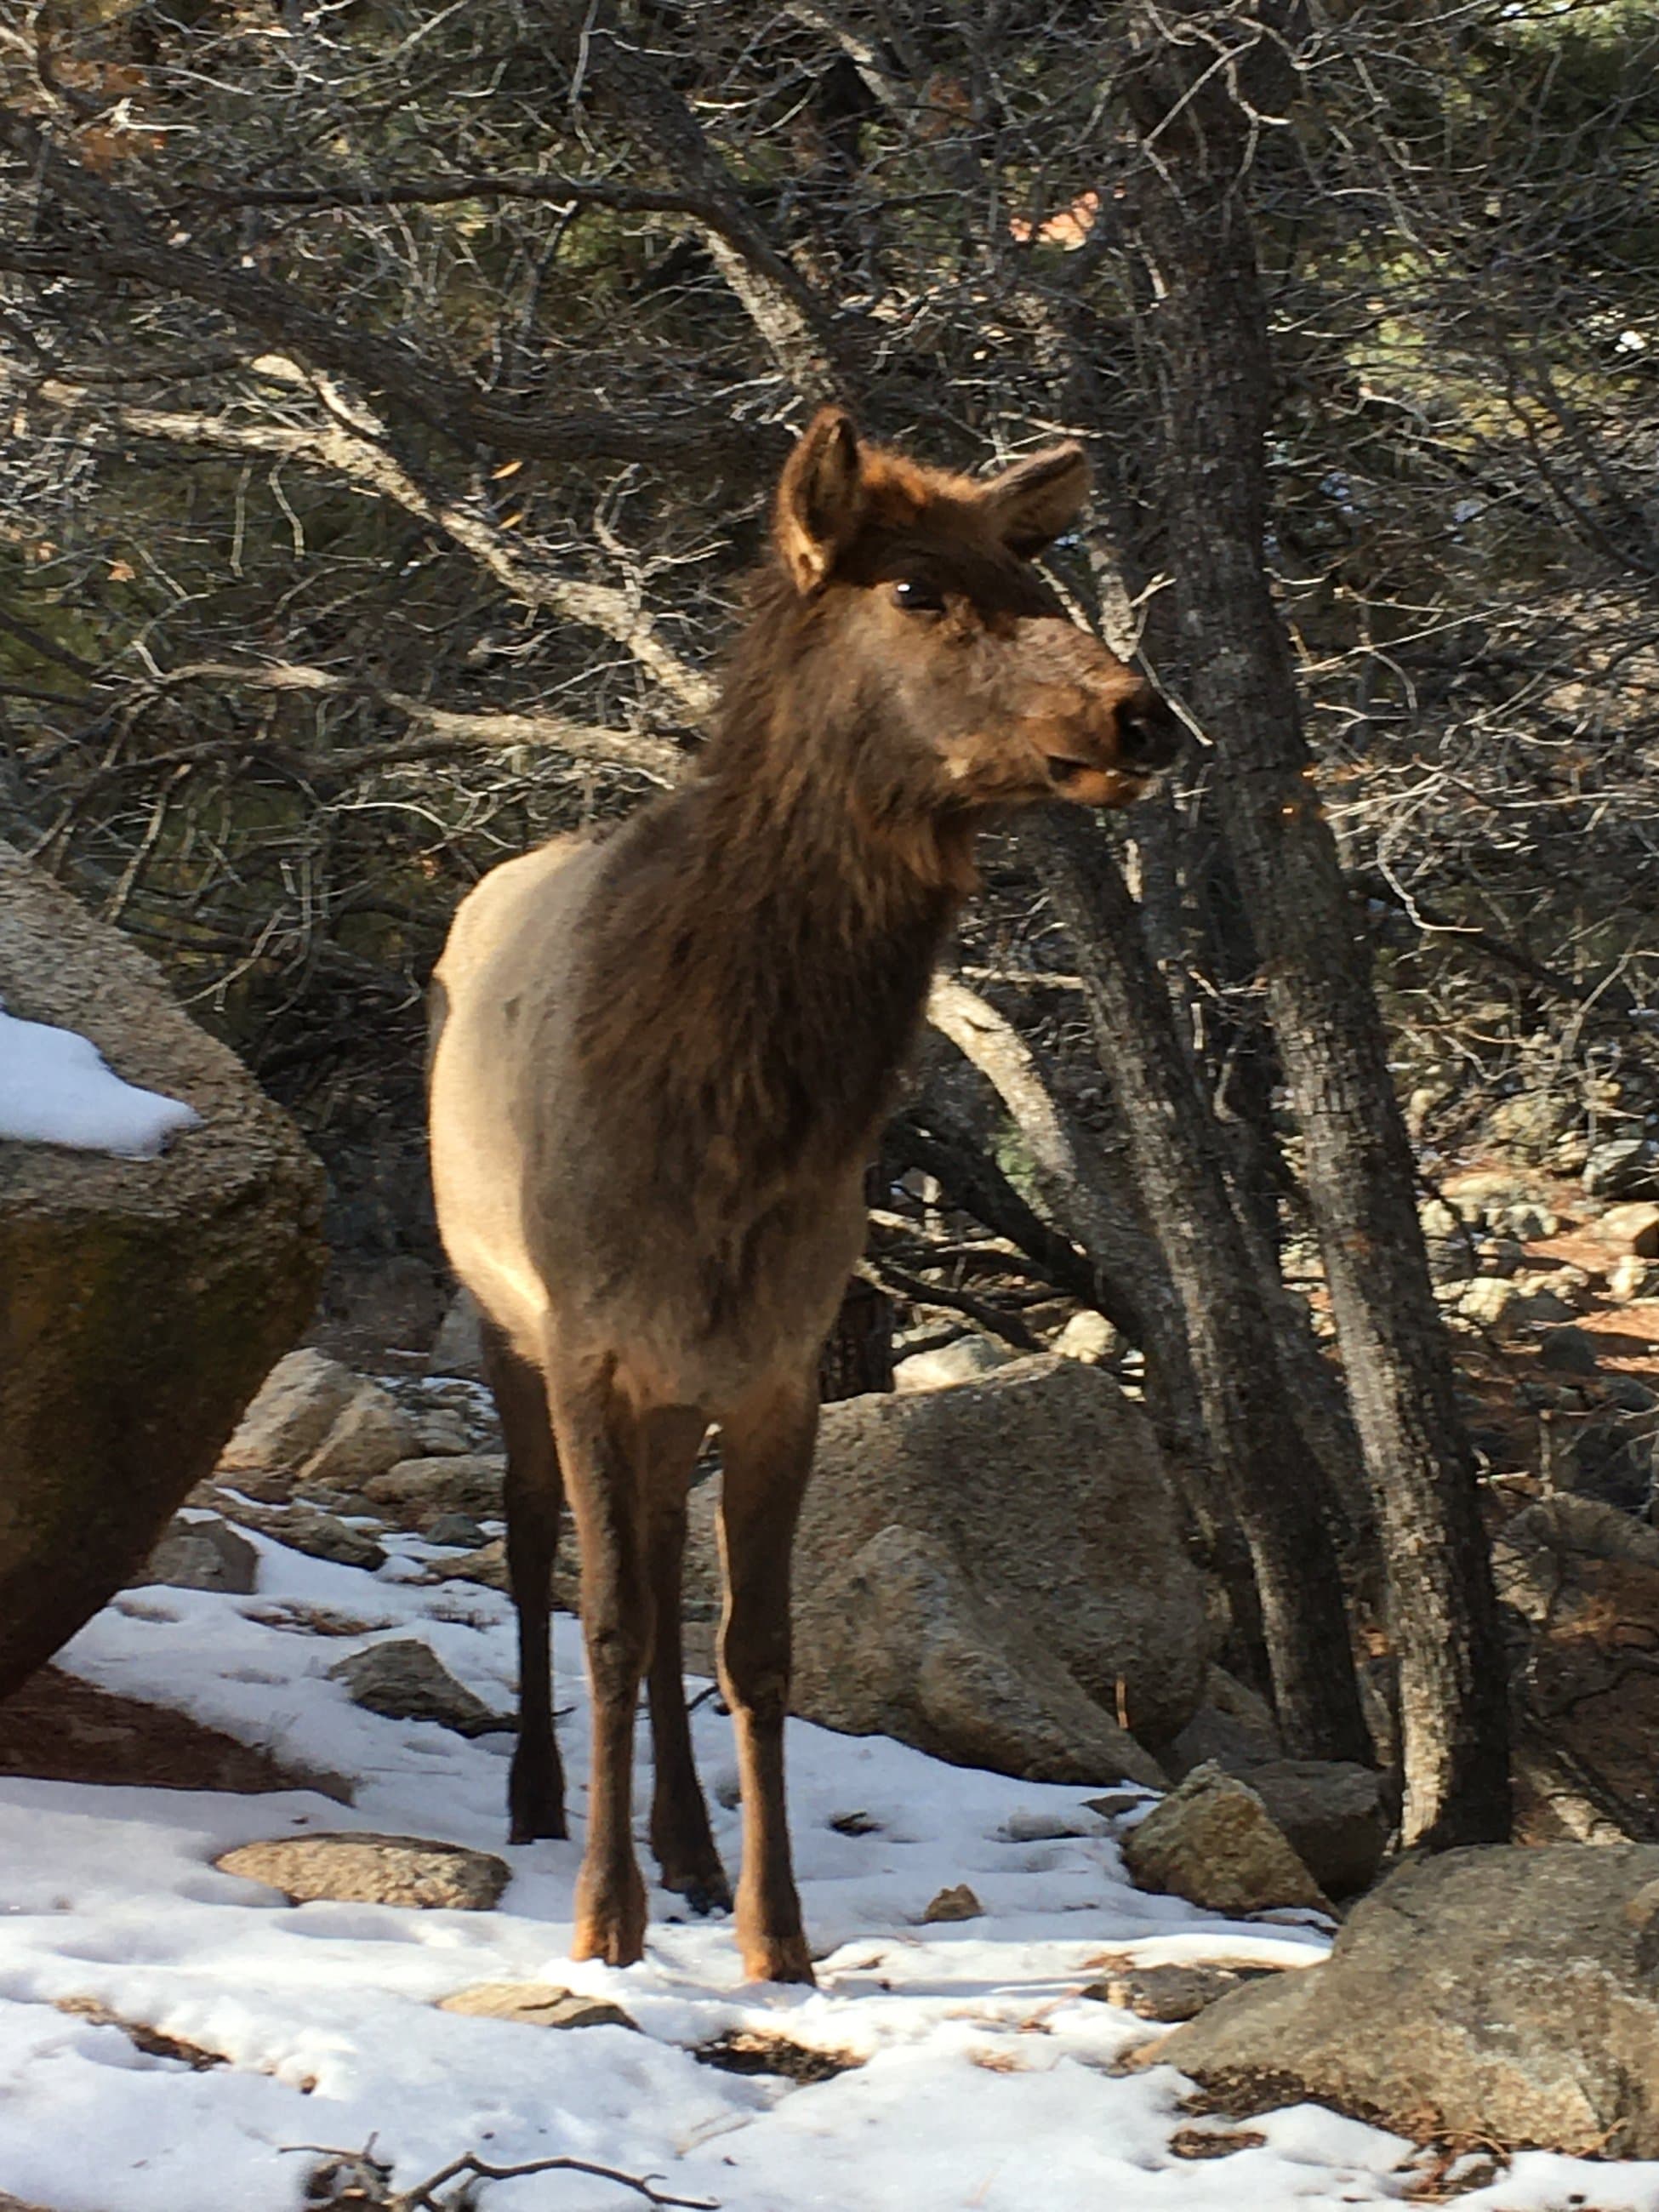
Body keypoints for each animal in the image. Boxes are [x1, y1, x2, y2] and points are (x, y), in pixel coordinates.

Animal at [426, 408, 1179, 1983]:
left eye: (1033, 574)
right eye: (916, 589)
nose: (1144, 716)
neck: (729, 1126)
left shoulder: (777, 1357)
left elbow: (749, 1648)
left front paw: (776, 1935)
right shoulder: (586, 1336)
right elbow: (603, 1620)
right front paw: (601, 1926)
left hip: (671, 1387)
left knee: (663, 1581)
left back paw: (688, 1850)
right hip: (493, 1303)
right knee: (531, 1545)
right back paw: (537, 1798)